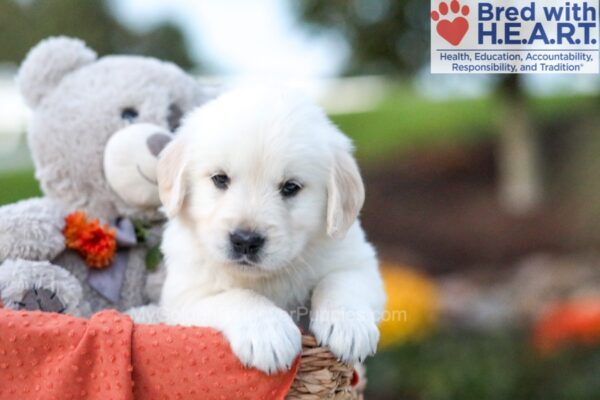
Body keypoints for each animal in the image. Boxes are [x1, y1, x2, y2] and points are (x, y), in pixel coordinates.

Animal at [157, 86, 386, 374]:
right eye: (220, 179)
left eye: (290, 187)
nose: (245, 241)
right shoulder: (182, 299)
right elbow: (236, 296)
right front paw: (267, 331)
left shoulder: (358, 260)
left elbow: (342, 280)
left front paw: (348, 326)